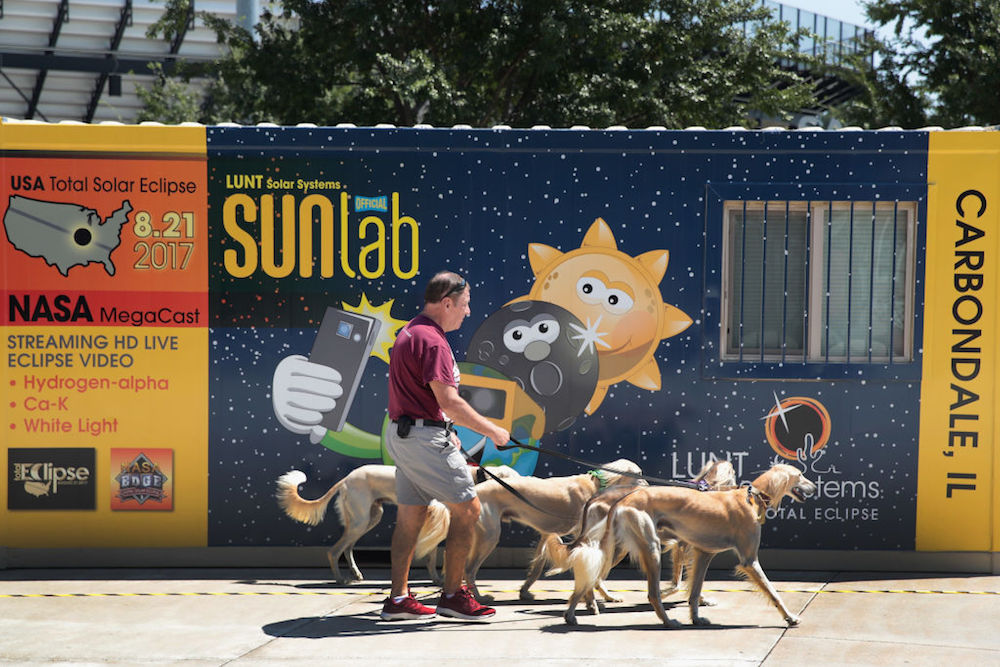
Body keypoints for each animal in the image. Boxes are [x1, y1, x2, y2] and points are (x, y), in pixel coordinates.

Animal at [278, 464, 520, 584]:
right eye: (511, 478)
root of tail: (347, 478)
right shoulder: (437, 521)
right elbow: (432, 555)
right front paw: (441, 580)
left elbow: (432, 556)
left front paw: (437, 579)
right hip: (361, 520)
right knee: (334, 550)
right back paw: (339, 579)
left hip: (369, 518)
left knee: (347, 548)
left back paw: (355, 574)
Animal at [416, 460, 644, 604]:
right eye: (640, 474)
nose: (648, 484)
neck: (596, 484)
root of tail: (476, 491)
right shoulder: (581, 534)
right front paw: (604, 596)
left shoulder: (546, 533)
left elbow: (536, 568)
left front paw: (524, 591)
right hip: (489, 536)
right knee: (469, 569)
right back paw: (479, 598)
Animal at [564, 462, 812, 628]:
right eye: (800, 475)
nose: (814, 487)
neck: (751, 497)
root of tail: (624, 499)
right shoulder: (749, 560)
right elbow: (773, 591)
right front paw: (790, 617)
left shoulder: (703, 553)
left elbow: (694, 590)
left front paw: (696, 616)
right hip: (648, 547)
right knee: (650, 593)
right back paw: (667, 621)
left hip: (613, 545)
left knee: (589, 575)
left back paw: (573, 613)